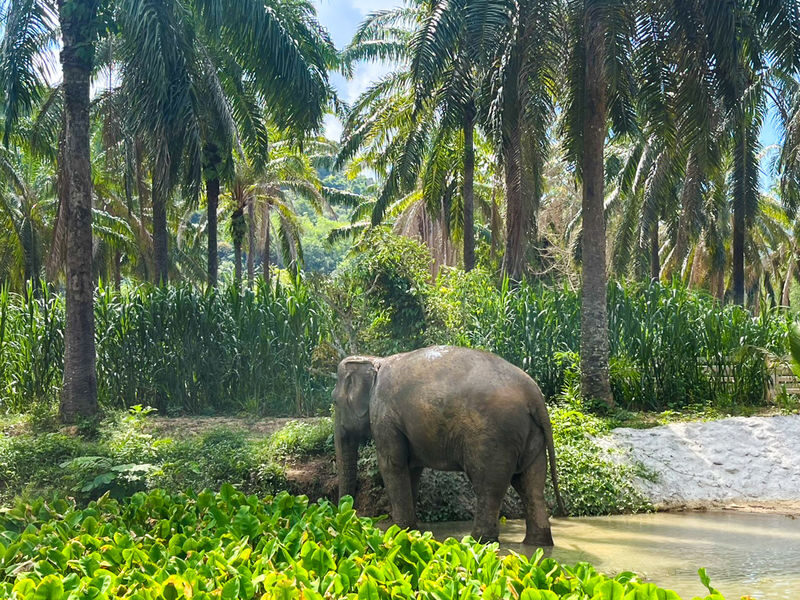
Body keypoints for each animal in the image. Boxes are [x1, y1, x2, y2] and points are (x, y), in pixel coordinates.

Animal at [333, 345, 566, 546]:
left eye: (335, 403)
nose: (347, 519)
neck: (375, 361)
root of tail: (535, 395)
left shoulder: (384, 415)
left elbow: (392, 465)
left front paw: (398, 532)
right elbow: (411, 469)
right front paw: (411, 532)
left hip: (494, 437)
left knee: (488, 486)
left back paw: (479, 541)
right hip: (532, 436)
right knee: (530, 485)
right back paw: (537, 544)